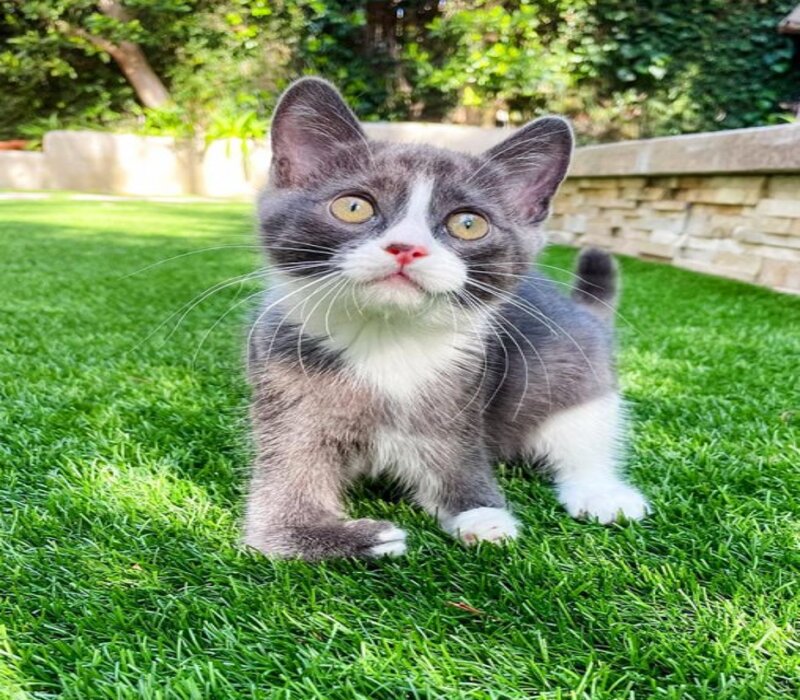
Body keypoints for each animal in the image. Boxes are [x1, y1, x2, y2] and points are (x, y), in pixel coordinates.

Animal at [241, 76, 648, 560]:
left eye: (468, 224)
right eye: (353, 207)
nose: (407, 247)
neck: (388, 337)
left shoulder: (463, 387)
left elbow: (455, 450)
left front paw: (480, 512)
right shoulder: (283, 380)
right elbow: (283, 488)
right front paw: (339, 537)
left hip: (572, 365)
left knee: (583, 427)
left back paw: (601, 492)